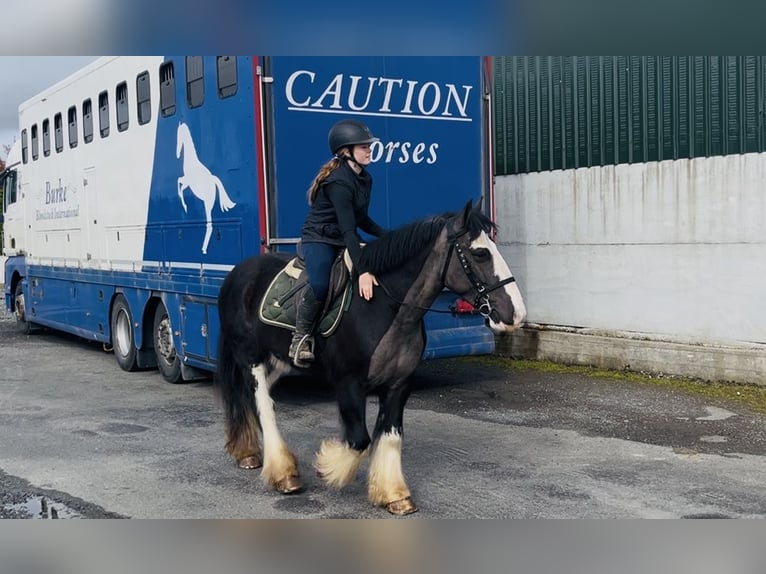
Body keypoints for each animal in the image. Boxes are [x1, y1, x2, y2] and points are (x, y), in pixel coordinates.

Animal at [176, 121, 237, 254]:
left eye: (179, 135)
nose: (177, 154)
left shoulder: (187, 181)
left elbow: (180, 185)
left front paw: (185, 206)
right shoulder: (186, 181)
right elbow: (179, 184)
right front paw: (185, 206)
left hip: (208, 203)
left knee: (209, 224)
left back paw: (204, 249)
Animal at [215, 199, 526, 515]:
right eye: (480, 253)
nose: (515, 314)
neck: (384, 305)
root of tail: (237, 274)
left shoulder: (399, 384)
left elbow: (390, 437)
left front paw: (395, 495)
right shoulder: (349, 384)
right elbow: (359, 440)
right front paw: (328, 467)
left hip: (277, 361)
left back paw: (249, 453)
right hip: (251, 357)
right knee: (263, 405)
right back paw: (284, 474)